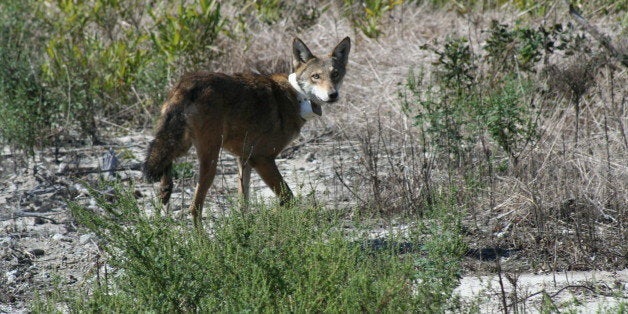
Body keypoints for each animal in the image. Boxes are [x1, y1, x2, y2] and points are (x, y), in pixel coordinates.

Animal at [143, 36, 350, 224]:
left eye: (335, 74)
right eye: (316, 76)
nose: (333, 95)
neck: (297, 97)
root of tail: (186, 83)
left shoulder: (244, 159)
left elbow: (244, 204)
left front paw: (245, 229)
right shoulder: (262, 158)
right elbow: (288, 198)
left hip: (181, 146)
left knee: (166, 177)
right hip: (209, 162)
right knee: (194, 208)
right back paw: (201, 241)